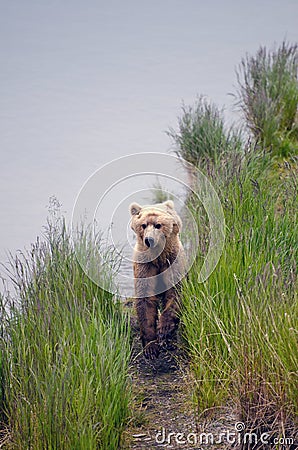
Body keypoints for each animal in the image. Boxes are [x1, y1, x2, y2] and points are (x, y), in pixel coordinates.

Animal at [129, 200, 185, 358]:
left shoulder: (172, 262)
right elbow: (145, 299)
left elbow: (174, 293)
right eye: (143, 225)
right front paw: (150, 347)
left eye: (158, 225)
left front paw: (164, 329)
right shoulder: (145, 266)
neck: (158, 257)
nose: (149, 240)